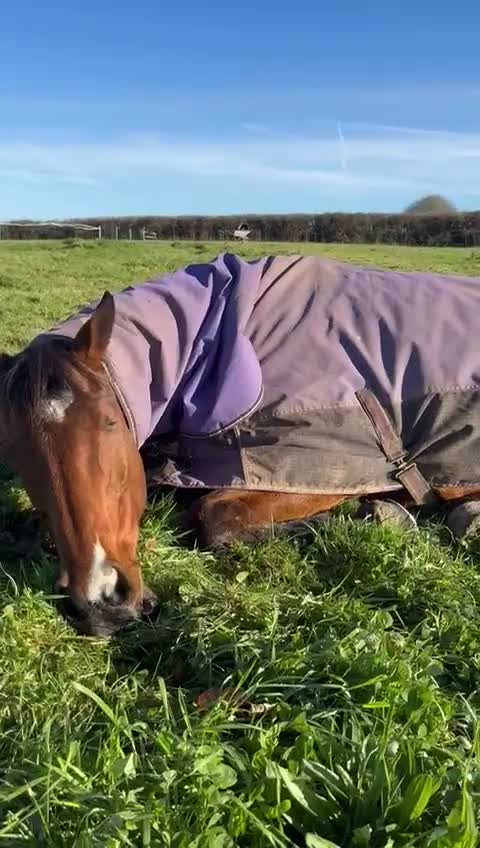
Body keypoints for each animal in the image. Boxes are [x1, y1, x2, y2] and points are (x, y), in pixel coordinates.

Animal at [1, 252, 480, 638]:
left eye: (110, 423)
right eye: (15, 452)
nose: (100, 603)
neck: (214, 348)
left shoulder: (319, 470)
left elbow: (211, 516)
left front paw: (364, 518)